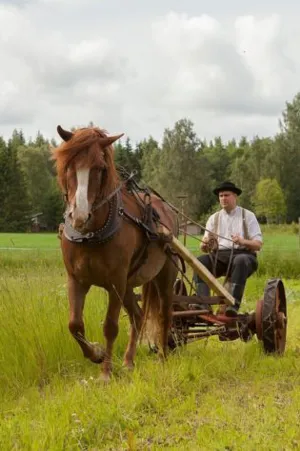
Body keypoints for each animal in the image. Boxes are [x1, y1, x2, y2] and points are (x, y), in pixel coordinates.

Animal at [52, 125, 178, 380]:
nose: (79, 216)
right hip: (129, 284)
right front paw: (96, 354)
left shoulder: (115, 282)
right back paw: (129, 361)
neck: (90, 234)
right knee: (137, 316)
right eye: (69, 165)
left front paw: (106, 372)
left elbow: (110, 326)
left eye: (100, 168)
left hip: (163, 275)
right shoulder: (76, 279)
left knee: (164, 314)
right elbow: (74, 324)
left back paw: (162, 356)